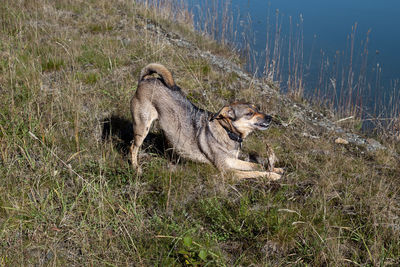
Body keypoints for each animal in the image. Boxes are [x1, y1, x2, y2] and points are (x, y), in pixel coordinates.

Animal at [130, 63, 282, 180]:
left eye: (258, 108)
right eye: (249, 113)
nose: (270, 117)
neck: (227, 131)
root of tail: (145, 79)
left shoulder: (232, 160)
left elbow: (255, 165)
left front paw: (275, 169)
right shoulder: (227, 170)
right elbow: (255, 172)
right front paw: (272, 175)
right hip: (142, 127)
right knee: (133, 147)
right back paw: (136, 168)